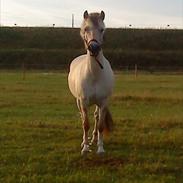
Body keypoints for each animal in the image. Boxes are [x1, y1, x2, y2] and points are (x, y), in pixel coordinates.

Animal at [68, 10, 113, 155]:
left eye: (102, 29)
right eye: (86, 29)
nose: (94, 47)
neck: (94, 75)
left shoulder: (103, 102)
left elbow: (100, 125)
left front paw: (100, 148)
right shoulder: (83, 102)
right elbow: (85, 124)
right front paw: (85, 148)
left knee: (96, 117)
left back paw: (93, 139)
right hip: (79, 102)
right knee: (83, 118)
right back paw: (85, 141)